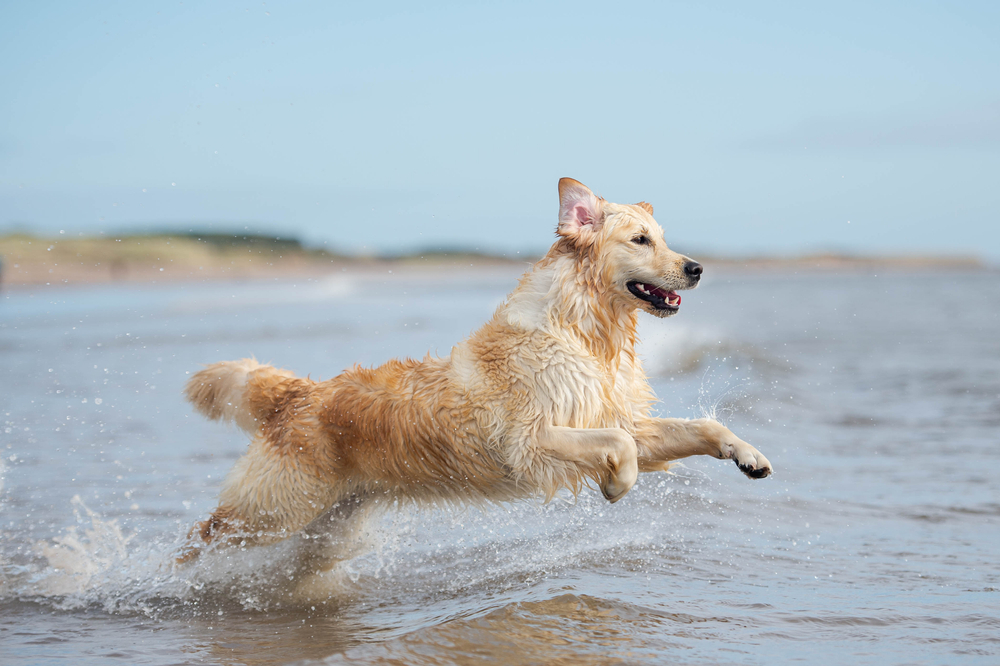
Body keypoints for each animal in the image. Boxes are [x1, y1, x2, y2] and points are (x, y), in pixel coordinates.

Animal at [182, 178, 772, 564]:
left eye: (665, 237)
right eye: (640, 240)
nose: (697, 268)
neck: (581, 333)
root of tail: (295, 392)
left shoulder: (622, 418)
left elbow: (701, 427)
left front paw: (749, 455)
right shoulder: (531, 441)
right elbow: (618, 448)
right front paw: (615, 485)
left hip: (328, 523)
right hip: (273, 510)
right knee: (203, 532)